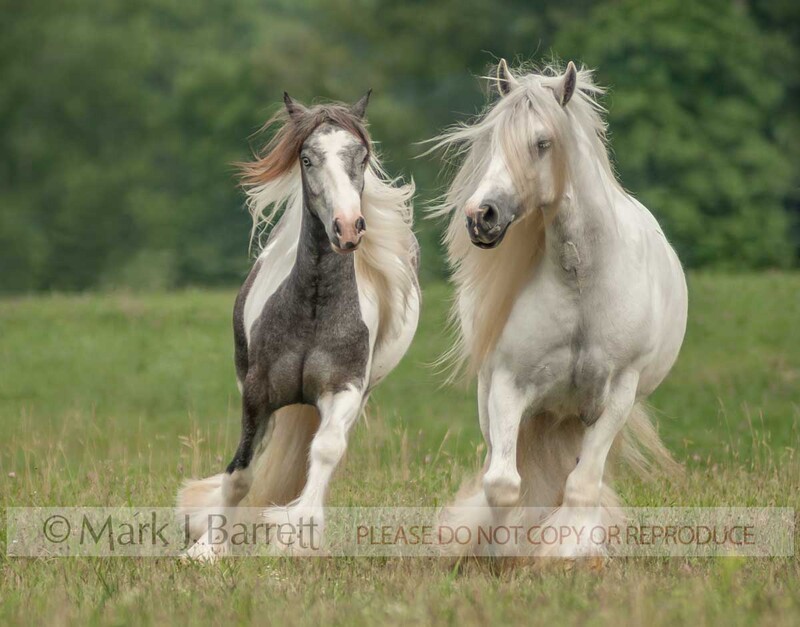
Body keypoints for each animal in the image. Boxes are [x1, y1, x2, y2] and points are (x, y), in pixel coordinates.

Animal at [177, 91, 420, 560]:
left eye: (361, 157)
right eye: (307, 159)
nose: (348, 228)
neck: (313, 307)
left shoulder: (345, 390)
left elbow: (324, 452)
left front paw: (295, 536)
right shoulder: (256, 394)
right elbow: (240, 474)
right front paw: (207, 549)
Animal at [432, 60, 687, 559]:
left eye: (542, 143)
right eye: (493, 141)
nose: (480, 217)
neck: (581, 283)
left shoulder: (618, 391)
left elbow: (583, 483)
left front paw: (571, 552)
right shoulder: (508, 385)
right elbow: (503, 482)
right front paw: (502, 552)